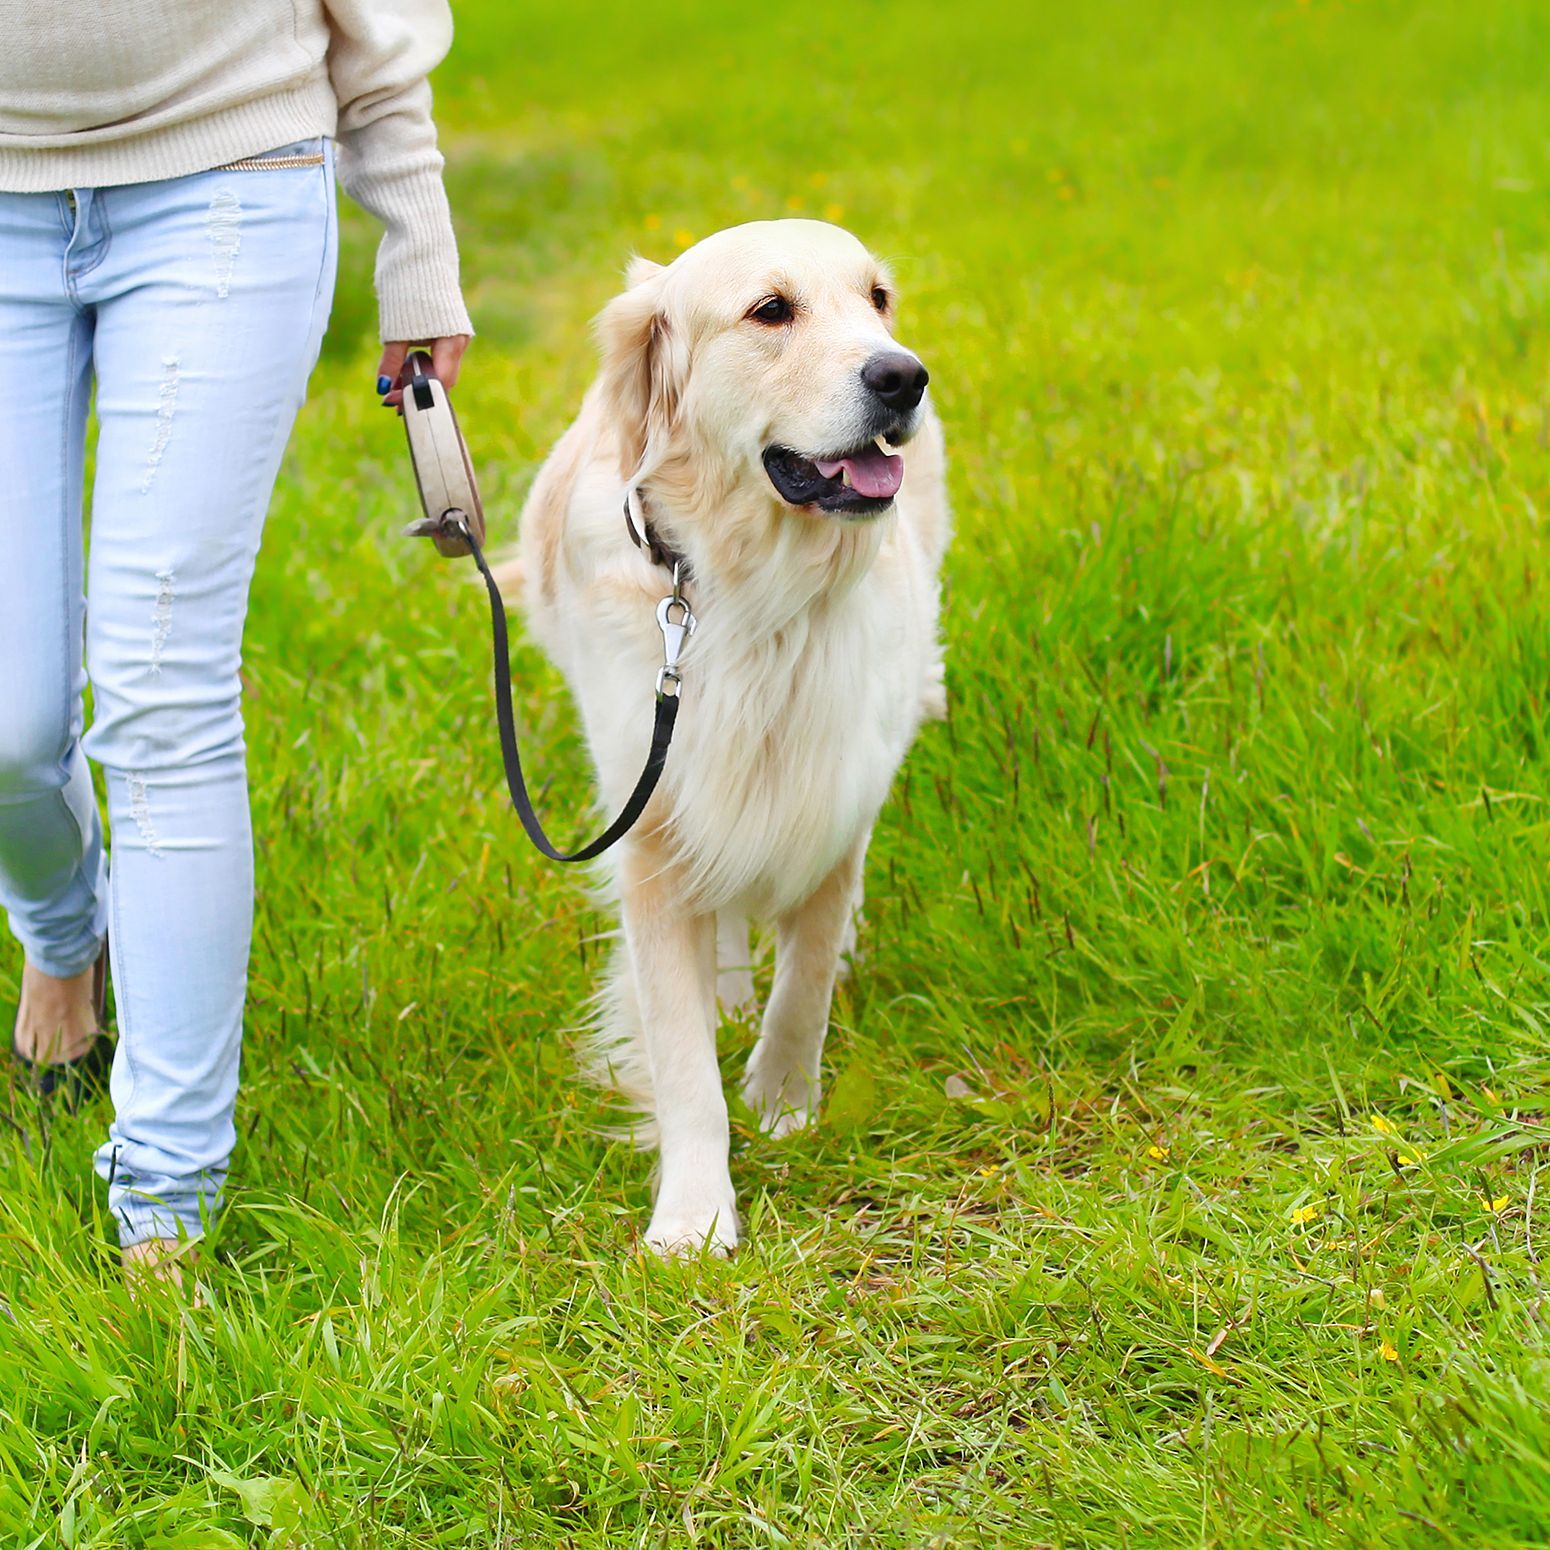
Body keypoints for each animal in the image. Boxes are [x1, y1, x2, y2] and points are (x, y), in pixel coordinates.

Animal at [503, 219, 949, 1254]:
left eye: (878, 298)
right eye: (770, 311)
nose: (904, 376)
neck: (757, 598)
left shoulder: (832, 796)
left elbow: (809, 979)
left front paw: (785, 1103)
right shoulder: (656, 824)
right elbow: (681, 1062)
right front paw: (694, 1217)